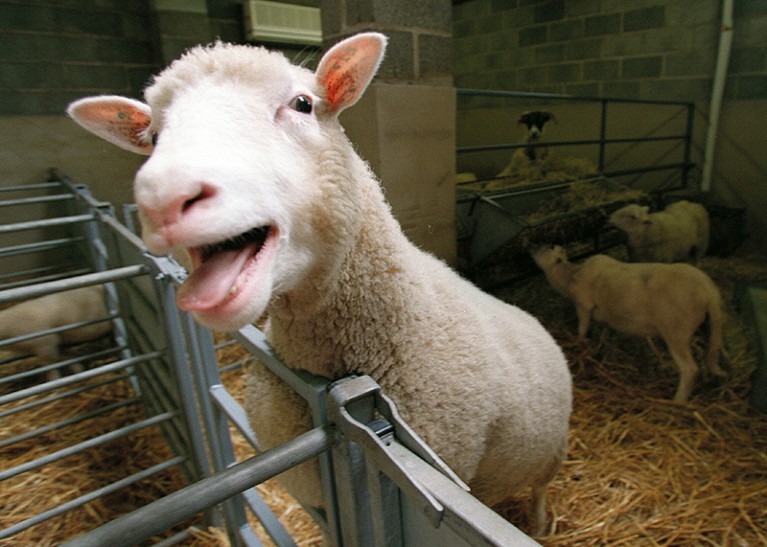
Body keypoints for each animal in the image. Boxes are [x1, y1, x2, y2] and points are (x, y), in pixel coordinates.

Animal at [69, 31, 572, 536]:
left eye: (303, 104)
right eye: (153, 136)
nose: (162, 197)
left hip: (550, 452)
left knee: (541, 489)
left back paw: (539, 523)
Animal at [532, 246, 728, 404]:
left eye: (546, 248)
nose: (530, 247)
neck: (570, 276)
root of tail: (710, 293)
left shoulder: (583, 306)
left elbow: (582, 330)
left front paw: (580, 344)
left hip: (676, 330)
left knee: (689, 369)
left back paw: (677, 401)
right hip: (708, 325)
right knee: (711, 352)